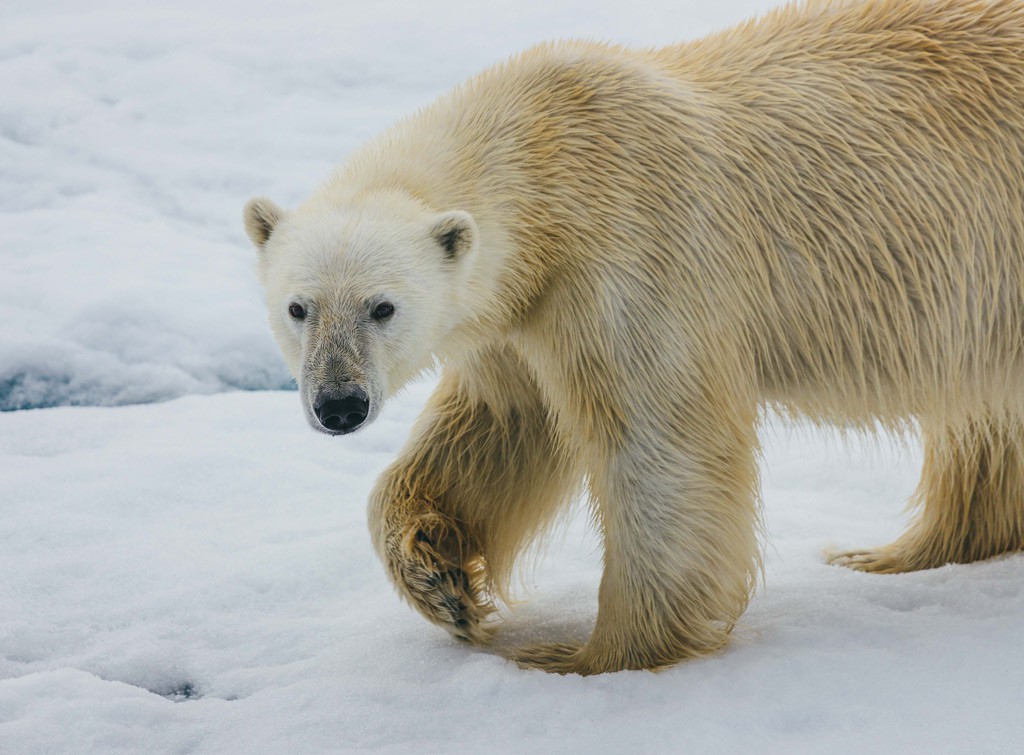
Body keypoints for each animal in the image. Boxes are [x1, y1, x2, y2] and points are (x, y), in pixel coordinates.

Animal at [243, 0, 1024, 672]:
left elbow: (660, 445)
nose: (339, 404)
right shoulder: (517, 312)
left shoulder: (632, 253)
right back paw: (900, 551)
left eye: (383, 307)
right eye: (299, 308)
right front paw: (441, 578)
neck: (548, 153)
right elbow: (502, 426)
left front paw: (585, 656)